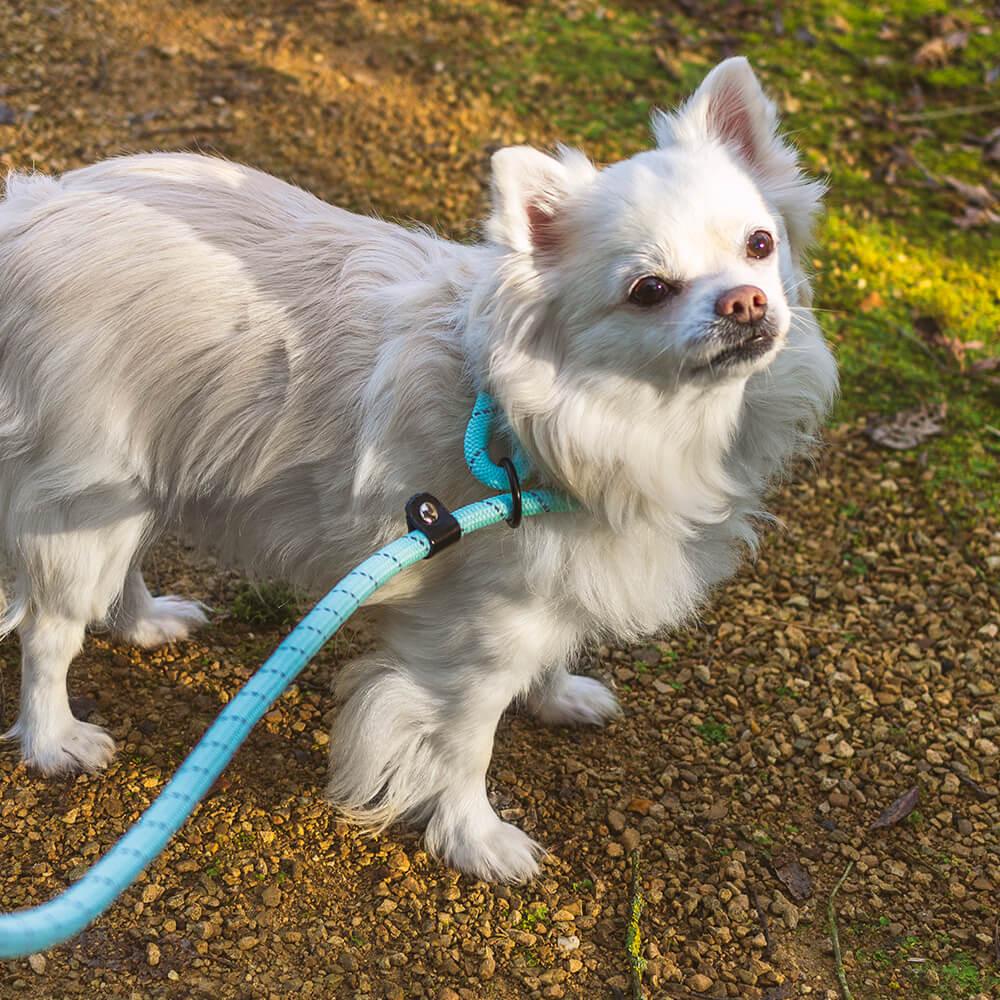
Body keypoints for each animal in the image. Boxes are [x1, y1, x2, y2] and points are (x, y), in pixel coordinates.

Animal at [0, 58, 836, 880]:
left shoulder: (556, 586)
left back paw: (144, 623)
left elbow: (552, 652)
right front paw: (475, 839)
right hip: (84, 500)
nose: (745, 301)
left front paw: (557, 696)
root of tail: (28, 212)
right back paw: (55, 740)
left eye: (761, 245)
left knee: (122, 571)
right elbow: (463, 746)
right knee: (50, 632)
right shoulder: (475, 641)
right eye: (649, 291)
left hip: (141, 477)